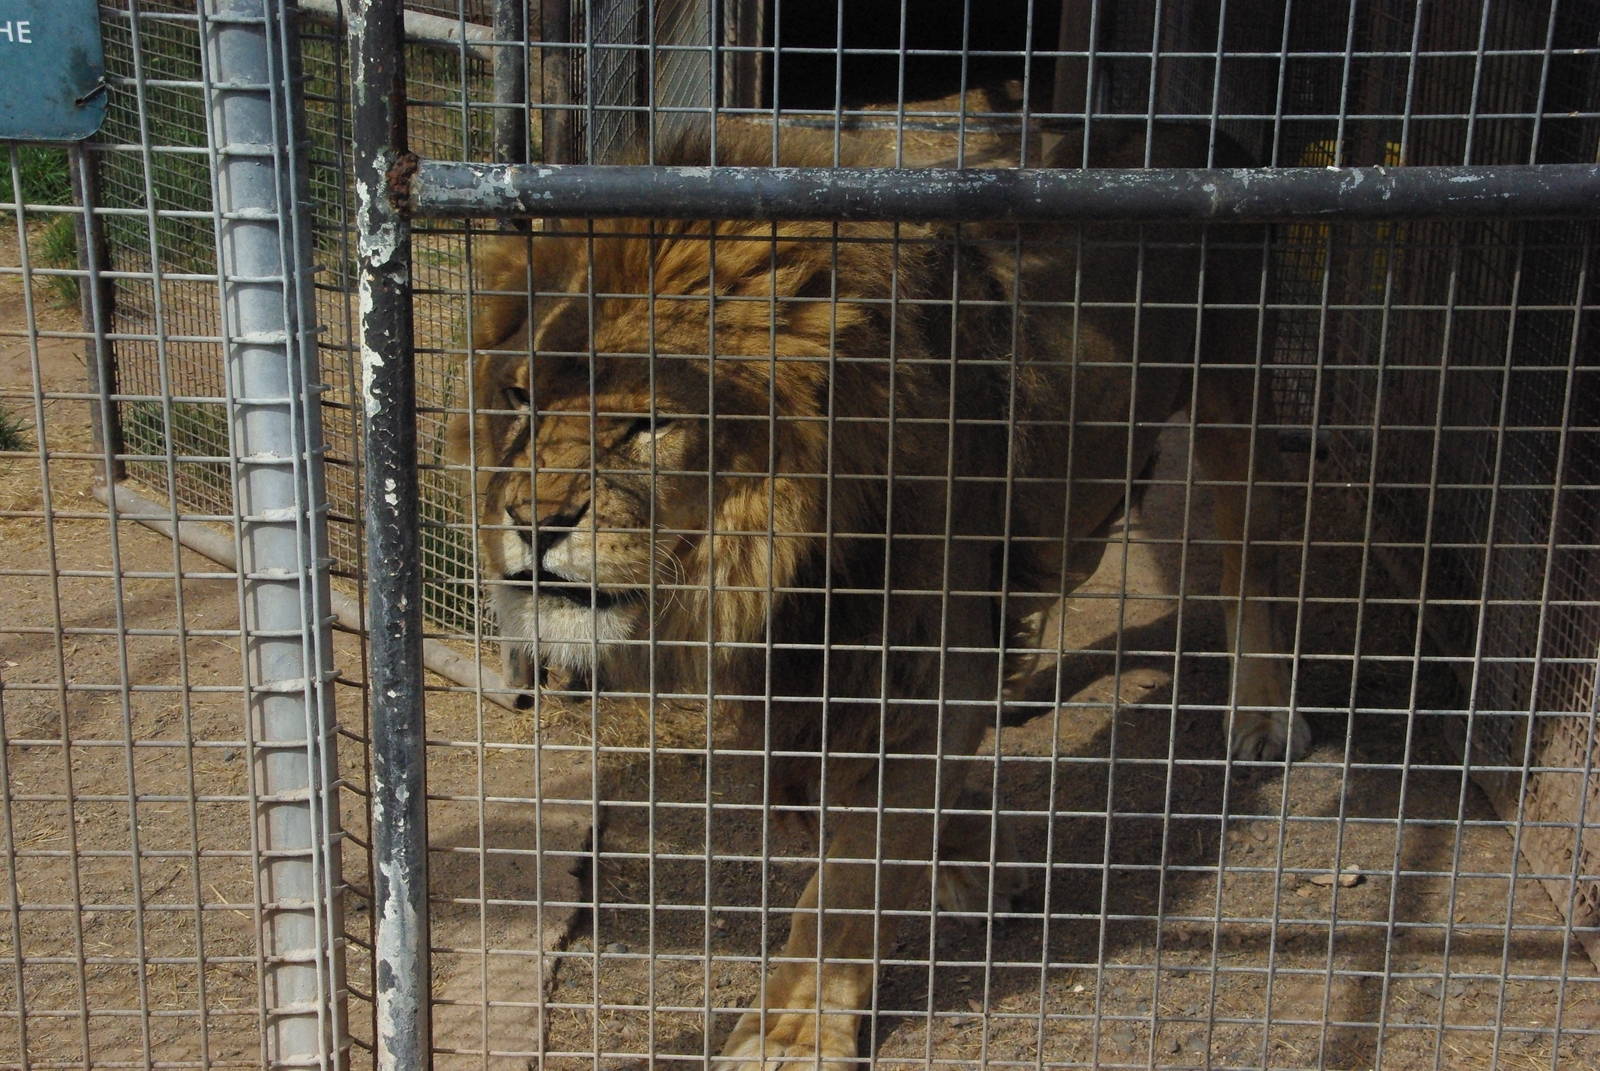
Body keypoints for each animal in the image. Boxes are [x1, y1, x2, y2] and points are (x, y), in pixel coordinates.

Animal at [448, 120, 1310, 1068]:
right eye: (519, 398)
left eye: (649, 421)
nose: (531, 521)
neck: (781, 555)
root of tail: (1214, 134)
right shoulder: (812, 670)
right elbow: (842, 811)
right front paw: (969, 856)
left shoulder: (922, 658)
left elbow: (852, 873)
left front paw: (793, 1029)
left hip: (1235, 393)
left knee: (1246, 557)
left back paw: (1264, 713)